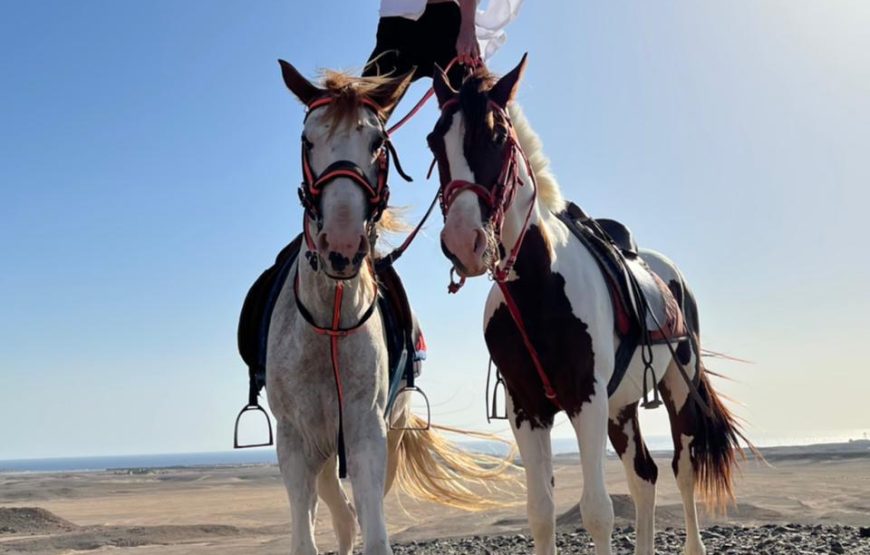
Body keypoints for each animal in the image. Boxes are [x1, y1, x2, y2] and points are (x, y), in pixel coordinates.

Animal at [267, 61, 514, 555]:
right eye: (307, 140)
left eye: (378, 143)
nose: (342, 246)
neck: (329, 322)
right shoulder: (295, 442)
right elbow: (307, 535)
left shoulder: (369, 435)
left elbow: (374, 531)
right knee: (339, 513)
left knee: (352, 514)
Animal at [426, 54, 751, 555]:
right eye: (434, 142)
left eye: (498, 137)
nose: (464, 241)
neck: (537, 287)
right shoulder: (527, 409)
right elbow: (540, 512)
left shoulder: (586, 398)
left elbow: (598, 510)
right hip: (622, 407)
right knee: (644, 476)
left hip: (678, 387)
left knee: (683, 468)